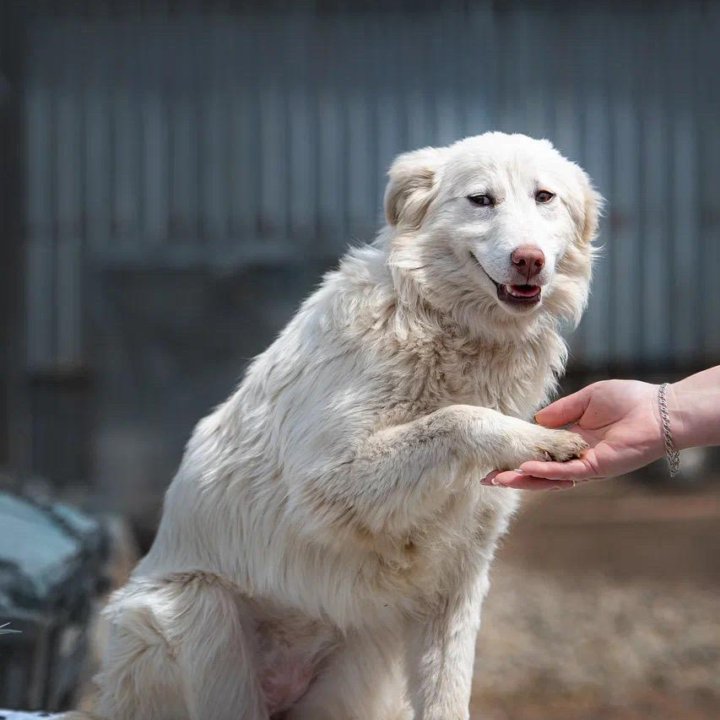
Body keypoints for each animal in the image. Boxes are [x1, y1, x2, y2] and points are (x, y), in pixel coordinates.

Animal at [79, 132, 600, 716]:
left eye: (544, 197)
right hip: (194, 614)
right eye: (481, 200)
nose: (528, 260)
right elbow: (456, 417)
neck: (438, 324)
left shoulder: (458, 581)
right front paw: (539, 440)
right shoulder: (328, 480)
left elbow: (447, 699)